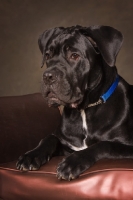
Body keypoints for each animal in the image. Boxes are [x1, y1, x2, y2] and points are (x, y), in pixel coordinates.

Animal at [17, 25, 133, 181]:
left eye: (74, 56)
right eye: (48, 55)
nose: (48, 76)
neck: (84, 110)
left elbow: (104, 145)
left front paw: (72, 162)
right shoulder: (66, 144)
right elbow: (49, 138)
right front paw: (31, 155)